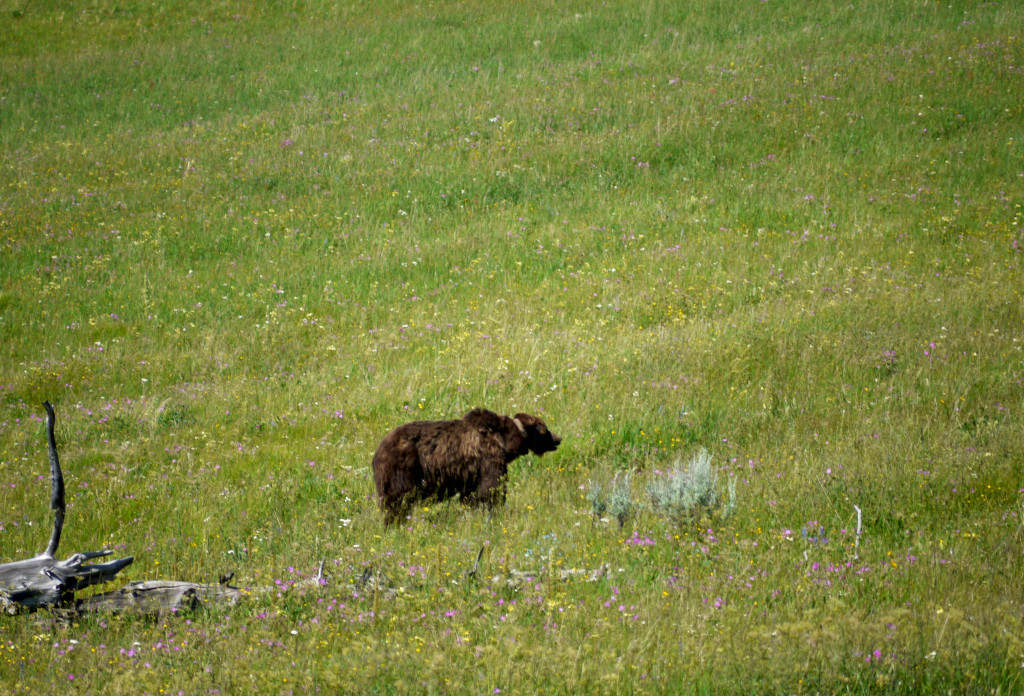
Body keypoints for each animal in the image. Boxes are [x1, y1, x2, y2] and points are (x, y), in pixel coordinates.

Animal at [371, 408, 561, 525]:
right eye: (546, 429)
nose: (558, 438)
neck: (507, 441)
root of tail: (378, 450)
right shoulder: (489, 458)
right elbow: (490, 489)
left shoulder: (471, 473)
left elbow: (471, 494)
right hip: (403, 469)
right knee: (397, 500)